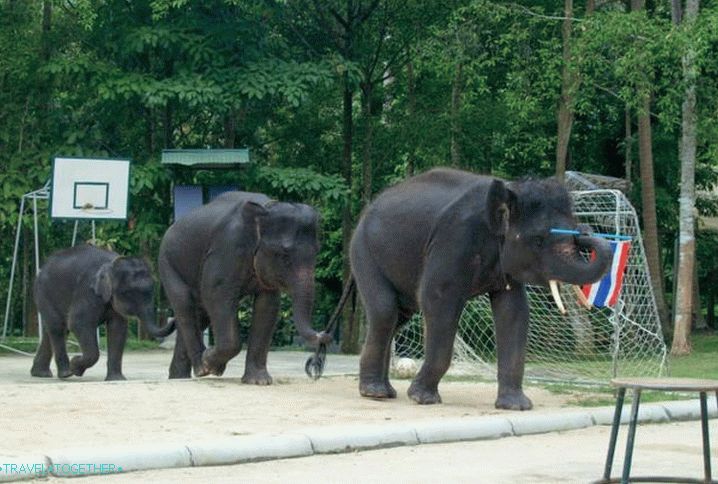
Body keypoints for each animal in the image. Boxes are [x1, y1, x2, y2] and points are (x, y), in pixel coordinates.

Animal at [32, 244, 176, 380]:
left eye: (152, 291)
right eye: (128, 293)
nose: (173, 318)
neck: (111, 264)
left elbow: (118, 328)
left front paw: (117, 379)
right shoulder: (87, 291)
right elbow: (78, 323)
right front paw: (76, 367)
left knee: (53, 330)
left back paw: (41, 374)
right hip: (44, 293)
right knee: (57, 327)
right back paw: (66, 373)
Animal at [159, 190, 330, 382]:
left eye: (317, 252)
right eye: (284, 255)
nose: (324, 335)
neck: (266, 208)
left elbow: (268, 306)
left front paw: (259, 382)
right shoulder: (227, 248)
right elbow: (216, 294)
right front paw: (213, 365)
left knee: (199, 315)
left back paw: (179, 377)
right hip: (168, 264)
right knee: (185, 306)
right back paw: (201, 368)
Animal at [352, 168, 616, 410]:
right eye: (538, 240)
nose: (585, 231)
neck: (510, 191)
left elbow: (514, 312)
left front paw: (517, 406)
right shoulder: (454, 240)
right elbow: (436, 299)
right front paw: (423, 399)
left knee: (399, 316)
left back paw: (384, 391)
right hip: (364, 251)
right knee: (386, 312)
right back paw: (375, 393)